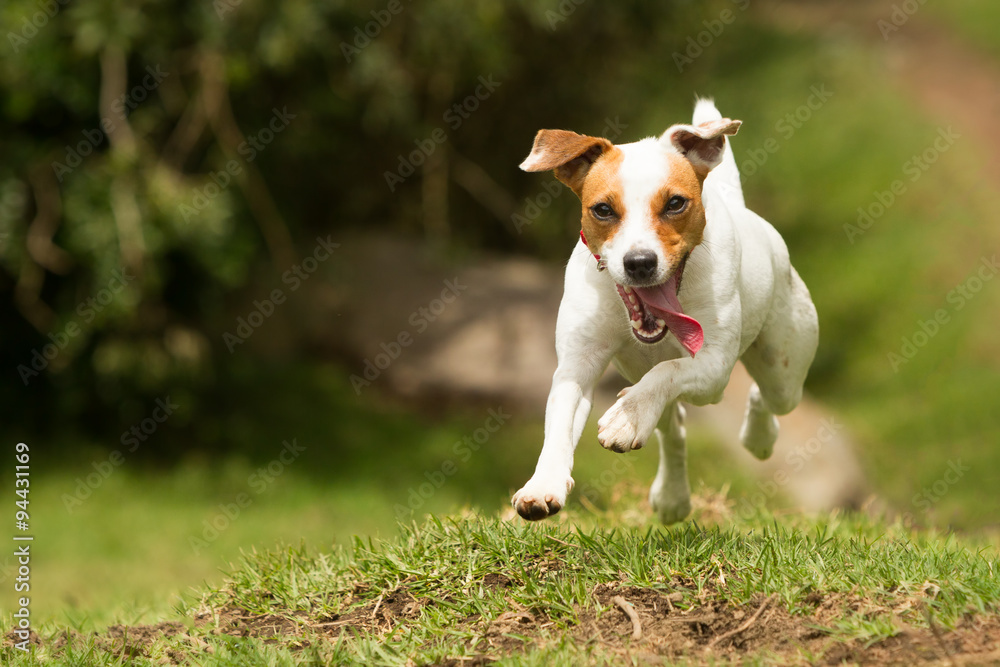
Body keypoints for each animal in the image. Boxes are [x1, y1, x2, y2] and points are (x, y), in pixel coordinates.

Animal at [512, 100, 816, 528]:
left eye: (675, 203)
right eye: (602, 209)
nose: (639, 262)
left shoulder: (713, 363)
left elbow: (668, 371)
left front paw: (626, 416)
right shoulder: (576, 365)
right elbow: (560, 421)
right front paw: (542, 486)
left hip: (782, 371)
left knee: (765, 394)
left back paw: (758, 437)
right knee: (675, 429)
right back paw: (672, 495)